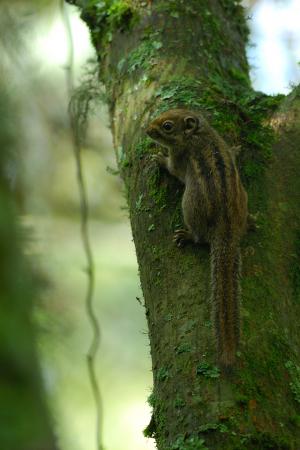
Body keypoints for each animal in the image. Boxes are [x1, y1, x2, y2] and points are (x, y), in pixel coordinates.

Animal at [146, 110, 248, 370]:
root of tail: (227, 230)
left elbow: (172, 168)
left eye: (167, 126)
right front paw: (236, 149)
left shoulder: (179, 157)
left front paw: (159, 159)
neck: (199, 134)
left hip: (190, 204)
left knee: (201, 237)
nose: (146, 130)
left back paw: (188, 236)